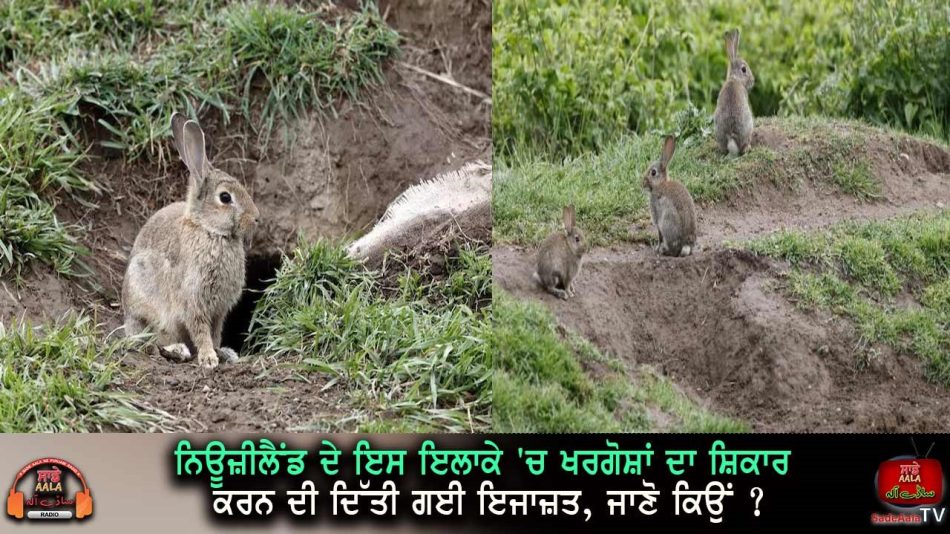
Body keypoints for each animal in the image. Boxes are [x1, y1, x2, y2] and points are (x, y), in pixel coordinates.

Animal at [122, 113, 260, 369]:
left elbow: (215, 332)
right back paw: (177, 350)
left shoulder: (218, 310)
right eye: (225, 197)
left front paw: (221, 352)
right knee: (149, 342)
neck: (209, 230)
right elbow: (201, 331)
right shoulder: (194, 301)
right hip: (144, 303)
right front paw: (208, 358)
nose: (256, 218)